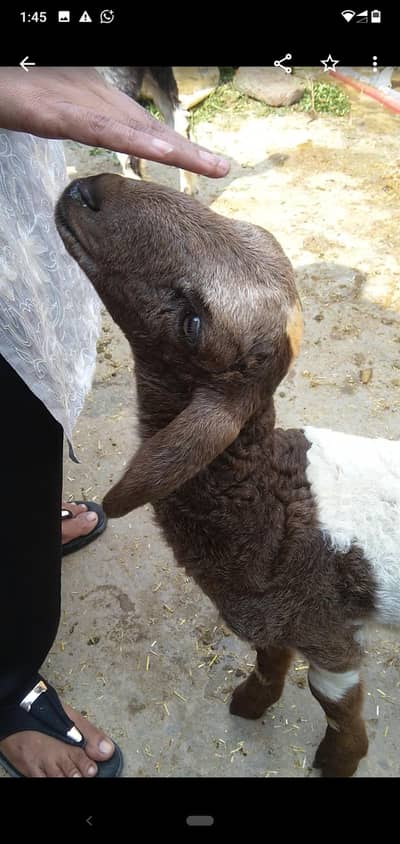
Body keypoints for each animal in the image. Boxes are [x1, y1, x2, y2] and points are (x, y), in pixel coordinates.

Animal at [55, 174, 400, 778]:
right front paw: (251, 703)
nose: (88, 189)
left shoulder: (328, 633)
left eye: (193, 323)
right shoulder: (277, 621)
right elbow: (268, 659)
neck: (272, 508)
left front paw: (338, 761)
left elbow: (336, 707)